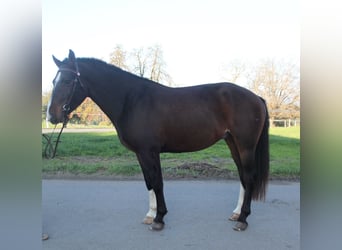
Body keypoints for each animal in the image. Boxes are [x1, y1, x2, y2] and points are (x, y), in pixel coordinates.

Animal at [46, 49, 268, 231]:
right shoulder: (141, 153)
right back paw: (236, 214)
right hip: (233, 143)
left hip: (246, 146)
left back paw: (243, 219)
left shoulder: (149, 151)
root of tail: (256, 97)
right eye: (54, 81)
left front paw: (159, 219)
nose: (50, 116)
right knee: (242, 176)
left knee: (249, 177)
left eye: (68, 81)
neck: (131, 100)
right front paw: (150, 215)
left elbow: (157, 182)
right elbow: (149, 182)